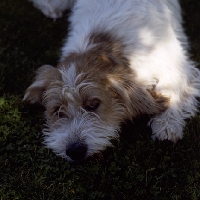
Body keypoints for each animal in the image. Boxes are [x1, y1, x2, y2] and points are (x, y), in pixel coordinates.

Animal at [23, 0, 200, 162]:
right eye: (57, 110)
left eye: (93, 104)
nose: (74, 151)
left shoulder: (174, 64)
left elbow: (171, 89)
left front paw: (167, 124)